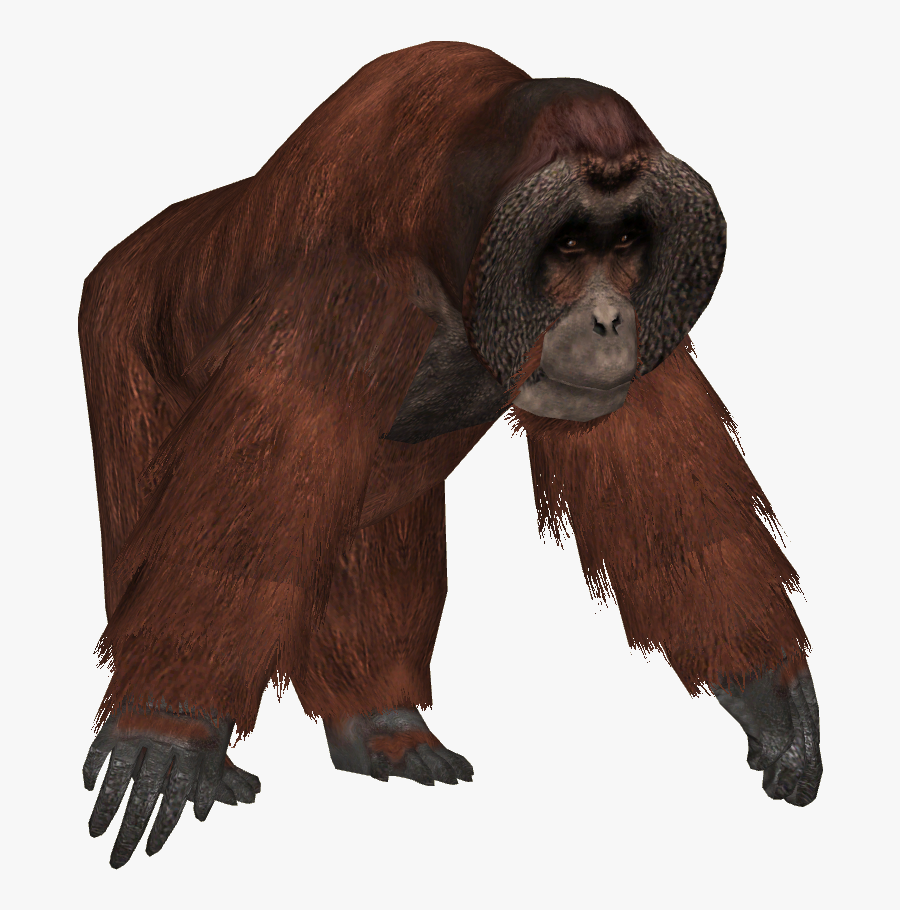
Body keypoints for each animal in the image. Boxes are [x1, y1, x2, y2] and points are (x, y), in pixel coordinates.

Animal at [78, 41, 821, 868]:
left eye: (627, 241)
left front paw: (770, 694)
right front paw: (167, 733)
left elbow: (677, 522)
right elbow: (240, 532)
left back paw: (385, 729)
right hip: (118, 319)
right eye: (570, 243)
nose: (608, 319)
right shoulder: (342, 300)